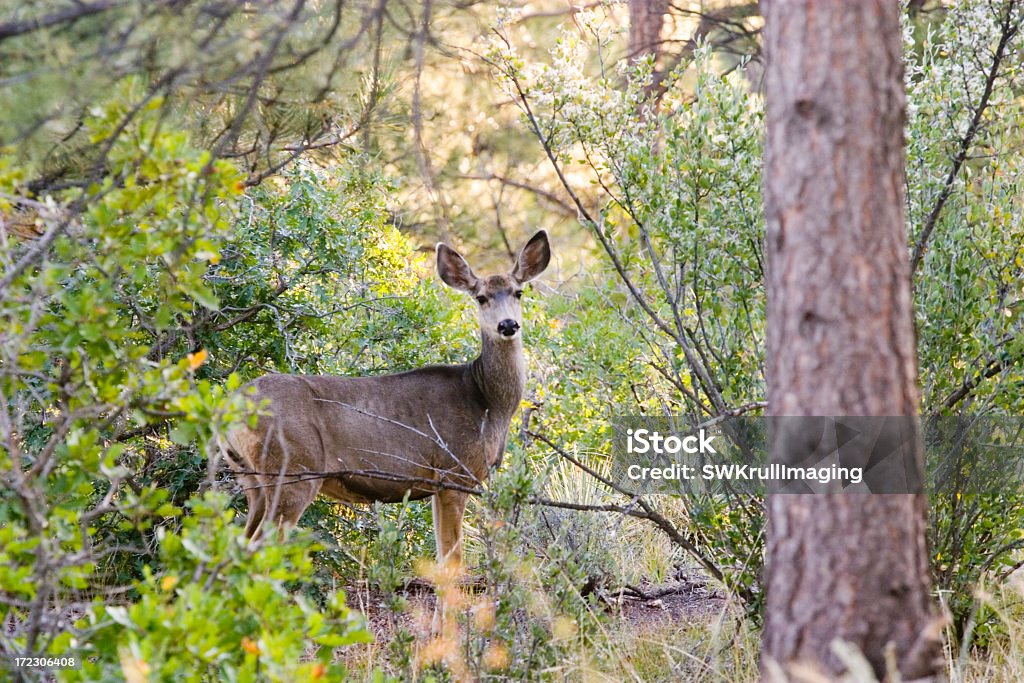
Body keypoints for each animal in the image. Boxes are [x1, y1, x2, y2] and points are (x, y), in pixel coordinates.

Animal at [219, 229, 548, 573]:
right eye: (481, 297)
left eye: (518, 292)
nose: (507, 325)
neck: (486, 401)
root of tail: (231, 406)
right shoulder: (454, 472)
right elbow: (453, 563)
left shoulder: (438, 484)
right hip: (294, 469)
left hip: (251, 479)